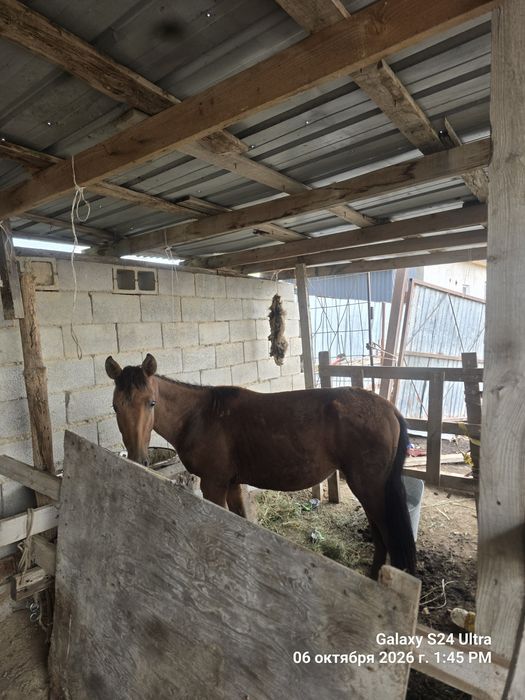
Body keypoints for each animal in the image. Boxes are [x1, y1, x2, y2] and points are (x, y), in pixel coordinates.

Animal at [105, 353, 416, 577]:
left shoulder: (214, 485)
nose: (138, 459)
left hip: (370, 488)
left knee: (387, 536)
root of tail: (390, 409)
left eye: (151, 403)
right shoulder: (232, 484)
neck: (200, 416)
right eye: (115, 407)